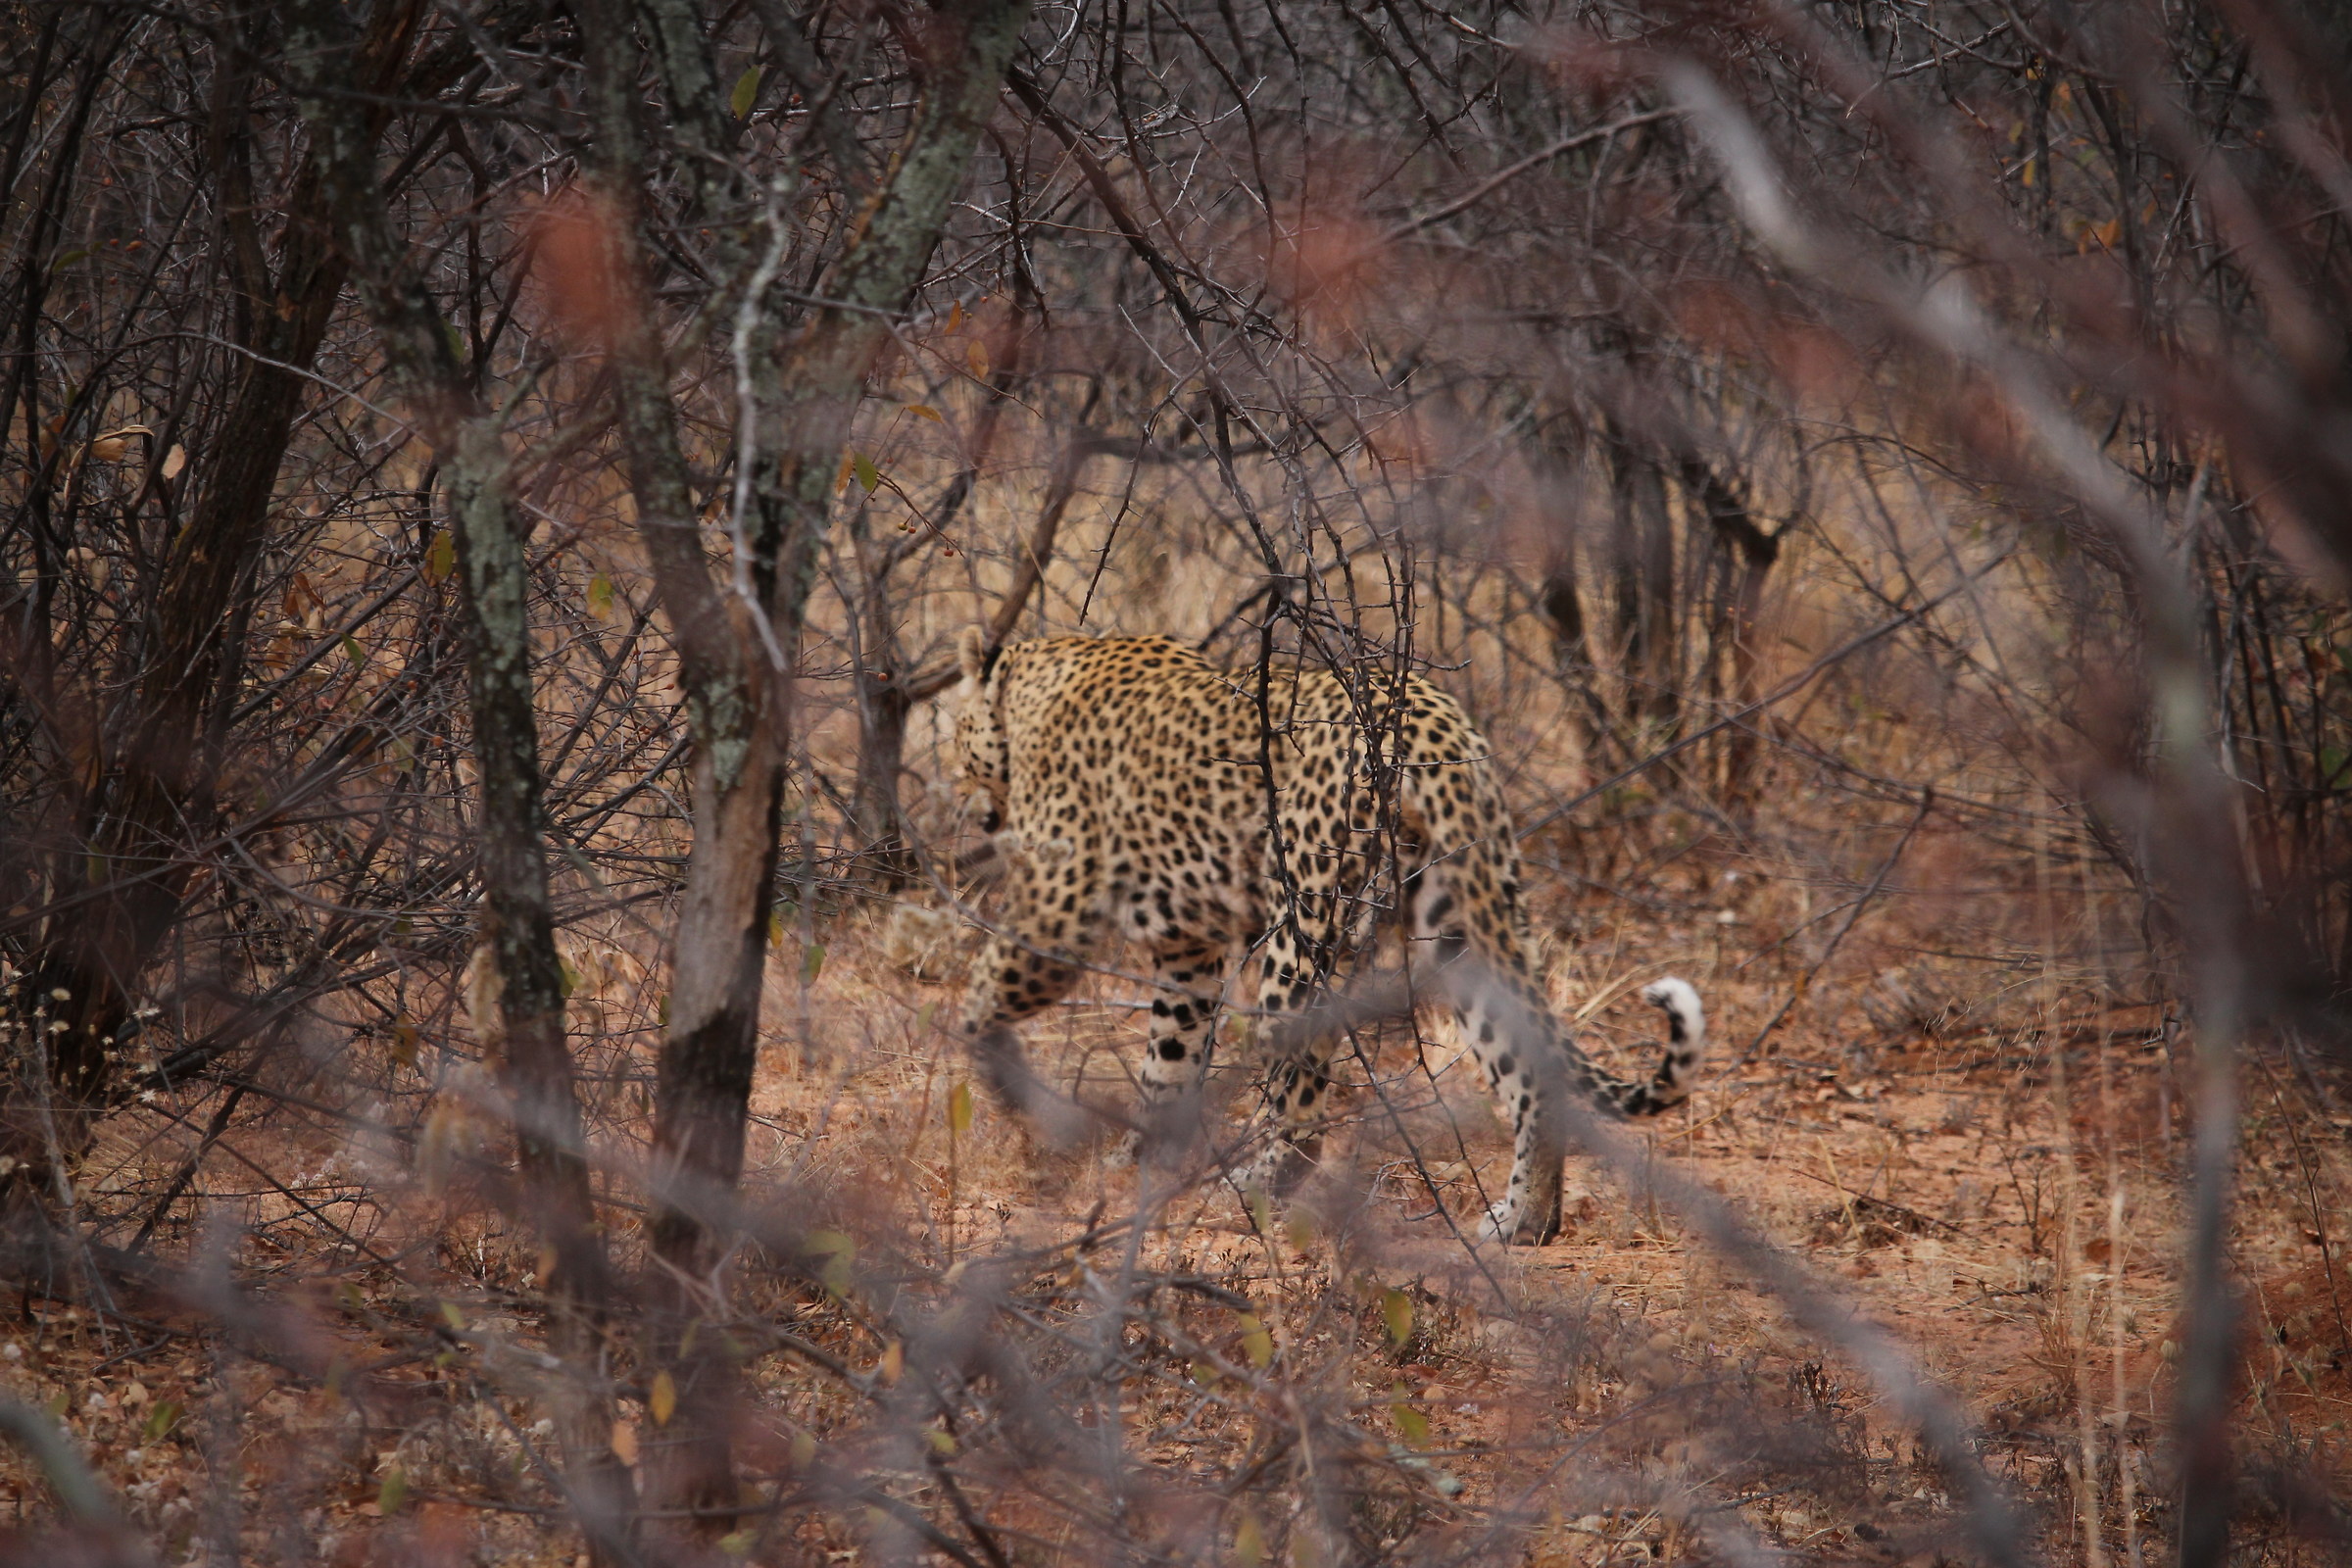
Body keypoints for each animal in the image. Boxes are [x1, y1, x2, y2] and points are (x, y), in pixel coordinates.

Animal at [943, 629, 1704, 1245]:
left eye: (954, 737)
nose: (965, 806)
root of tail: (1440, 723)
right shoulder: (1188, 951)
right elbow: (1169, 1060)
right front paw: (1138, 1161)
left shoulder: (1059, 904)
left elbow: (985, 993)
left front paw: (995, 1074)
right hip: (1458, 924)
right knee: (1528, 1070)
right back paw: (1523, 1222)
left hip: (1306, 923)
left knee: (1305, 1104)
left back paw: (1247, 1192)